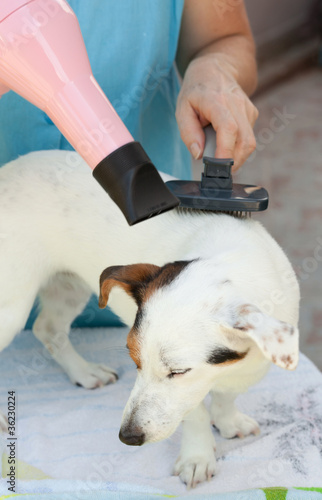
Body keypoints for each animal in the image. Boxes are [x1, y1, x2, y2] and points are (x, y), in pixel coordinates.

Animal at [0, 151, 300, 488]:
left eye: (178, 371)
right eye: (135, 361)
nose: (127, 437)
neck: (232, 259)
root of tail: (9, 170)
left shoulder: (249, 368)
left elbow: (226, 396)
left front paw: (227, 420)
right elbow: (195, 414)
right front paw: (197, 457)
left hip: (68, 286)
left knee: (48, 329)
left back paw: (84, 372)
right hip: (11, 305)